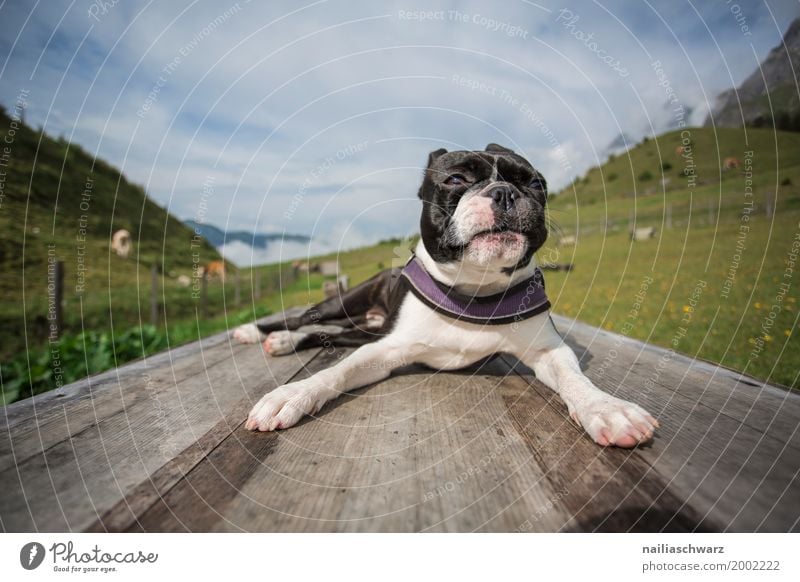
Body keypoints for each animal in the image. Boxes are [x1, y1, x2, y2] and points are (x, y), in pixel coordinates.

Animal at [234, 145, 660, 448]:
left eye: (536, 184)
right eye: (456, 178)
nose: (505, 192)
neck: (473, 291)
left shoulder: (547, 350)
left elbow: (575, 379)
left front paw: (606, 408)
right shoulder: (385, 349)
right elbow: (338, 370)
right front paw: (294, 394)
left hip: (364, 328)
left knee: (328, 333)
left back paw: (283, 341)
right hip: (345, 302)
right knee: (306, 319)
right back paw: (260, 333)